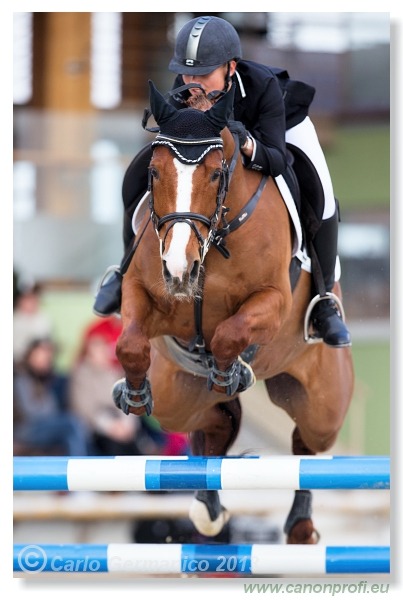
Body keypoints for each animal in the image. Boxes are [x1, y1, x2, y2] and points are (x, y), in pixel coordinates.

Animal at [113, 82, 354, 548]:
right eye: (154, 173)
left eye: (214, 174)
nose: (179, 269)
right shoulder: (142, 293)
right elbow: (130, 342)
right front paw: (133, 394)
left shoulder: (272, 302)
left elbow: (230, 333)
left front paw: (231, 372)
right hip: (178, 398)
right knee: (216, 424)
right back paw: (207, 504)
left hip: (324, 403)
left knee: (308, 444)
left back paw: (301, 525)